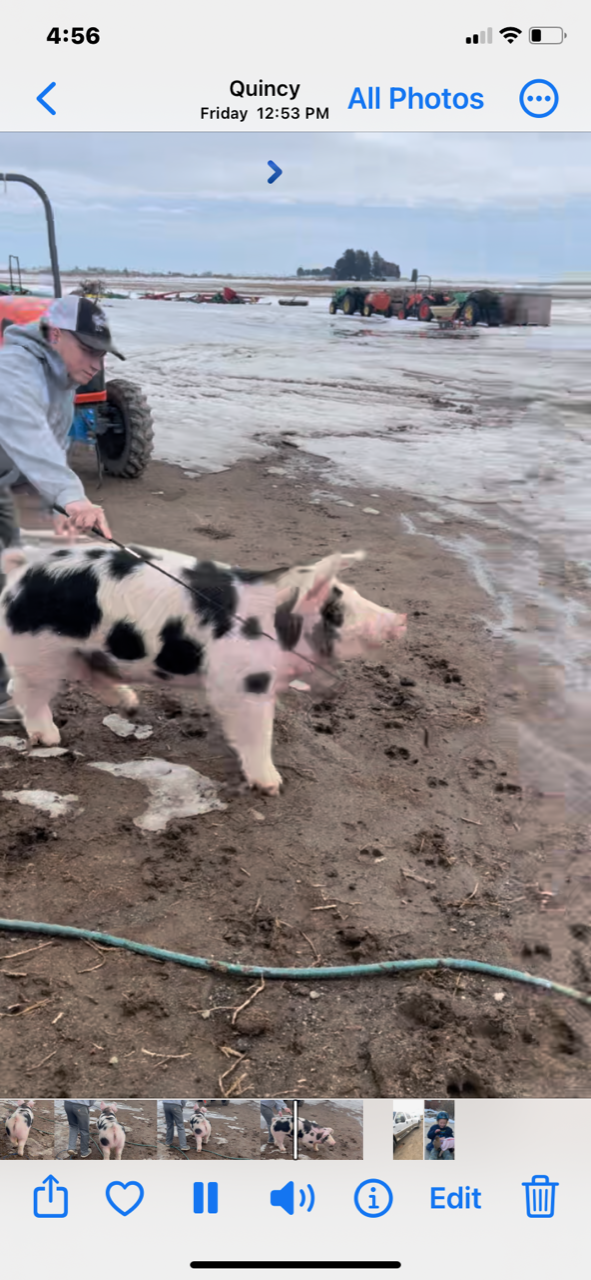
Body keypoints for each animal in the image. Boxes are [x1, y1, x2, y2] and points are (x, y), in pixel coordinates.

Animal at [0, 543, 406, 795]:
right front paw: (272, 786)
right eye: (335, 611)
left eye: (355, 595)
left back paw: (130, 703)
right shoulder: (244, 683)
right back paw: (49, 738)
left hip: (83, 652)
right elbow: (258, 732)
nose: (400, 619)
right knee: (23, 692)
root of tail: (23, 570)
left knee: (91, 675)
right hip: (38, 655)